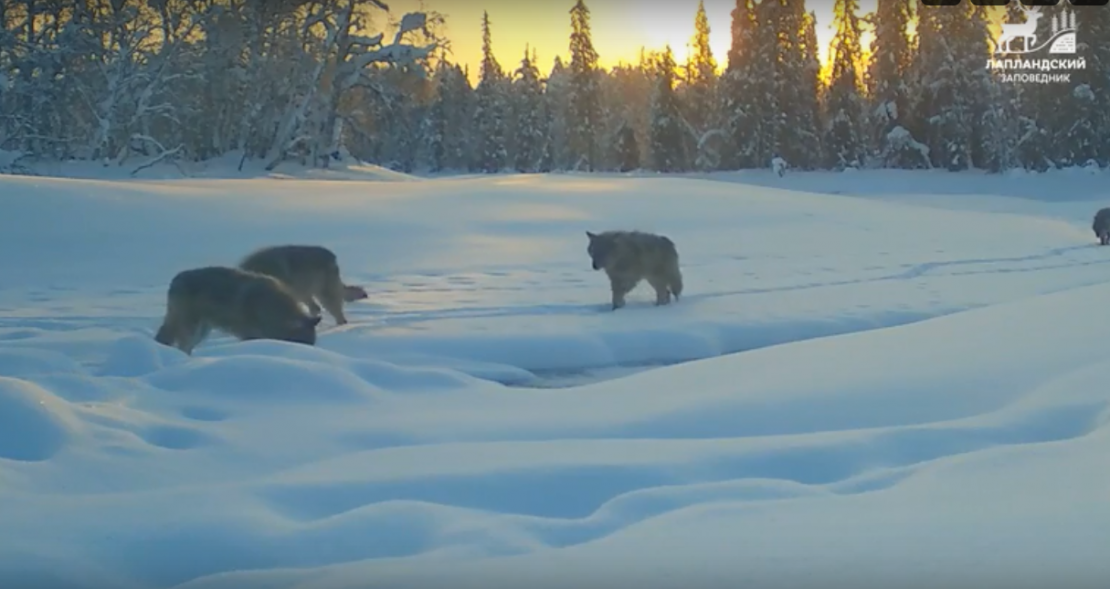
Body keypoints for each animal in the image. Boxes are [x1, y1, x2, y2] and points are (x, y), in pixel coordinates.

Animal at [154, 266, 322, 355]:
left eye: (311, 344)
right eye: (301, 344)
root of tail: (175, 279)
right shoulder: (249, 336)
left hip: (201, 331)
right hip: (192, 329)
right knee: (182, 346)